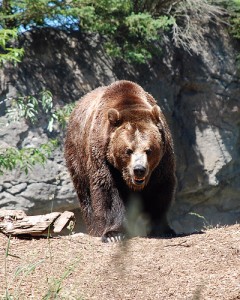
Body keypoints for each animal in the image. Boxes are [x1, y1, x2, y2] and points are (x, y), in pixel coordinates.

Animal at [64, 81, 176, 243]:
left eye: (148, 150)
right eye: (128, 150)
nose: (139, 169)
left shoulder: (162, 159)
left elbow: (160, 189)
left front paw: (163, 229)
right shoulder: (102, 155)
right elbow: (108, 191)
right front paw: (113, 234)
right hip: (77, 155)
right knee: (85, 194)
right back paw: (95, 229)